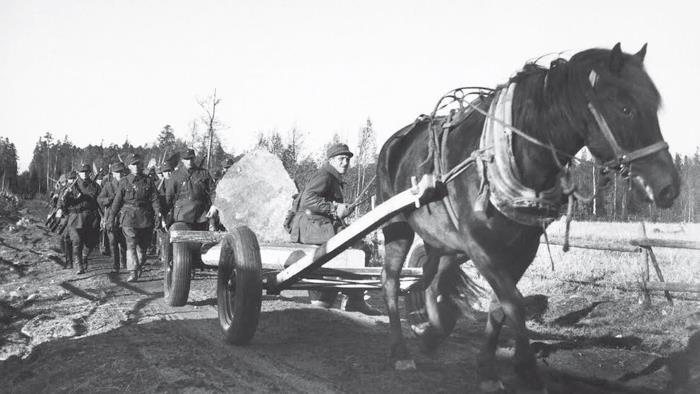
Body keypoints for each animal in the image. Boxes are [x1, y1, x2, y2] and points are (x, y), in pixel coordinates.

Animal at [378, 43, 680, 390]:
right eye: (625, 108)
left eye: (654, 106)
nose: (669, 187)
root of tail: (397, 139)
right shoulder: (481, 247)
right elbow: (514, 302)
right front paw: (526, 370)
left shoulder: (524, 246)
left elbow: (500, 306)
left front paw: (487, 368)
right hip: (397, 226)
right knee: (391, 280)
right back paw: (400, 351)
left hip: (442, 239)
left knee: (432, 277)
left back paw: (434, 331)